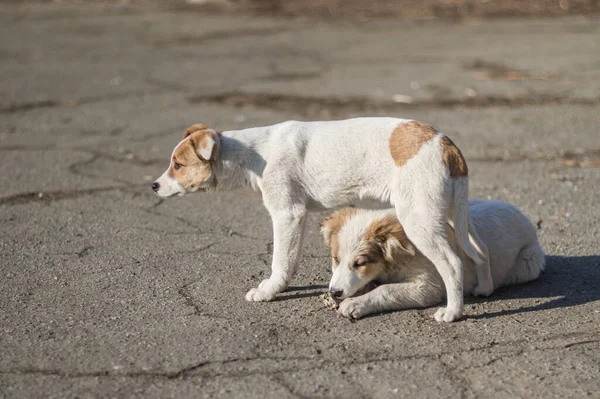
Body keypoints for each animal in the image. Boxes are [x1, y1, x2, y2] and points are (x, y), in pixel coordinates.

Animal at [151, 118, 492, 322]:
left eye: (178, 165)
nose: (153, 186)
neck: (253, 154)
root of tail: (445, 143)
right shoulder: (296, 217)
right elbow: (289, 260)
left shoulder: (287, 214)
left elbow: (280, 261)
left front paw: (268, 291)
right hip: (453, 215)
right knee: (480, 252)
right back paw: (485, 289)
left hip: (419, 219)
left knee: (453, 264)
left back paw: (453, 311)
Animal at [322, 202, 548, 320]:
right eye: (335, 259)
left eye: (360, 263)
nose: (335, 292)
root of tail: (519, 212)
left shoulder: (427, 286)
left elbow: (386, 290)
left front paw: (355, 304)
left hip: (528, 262)